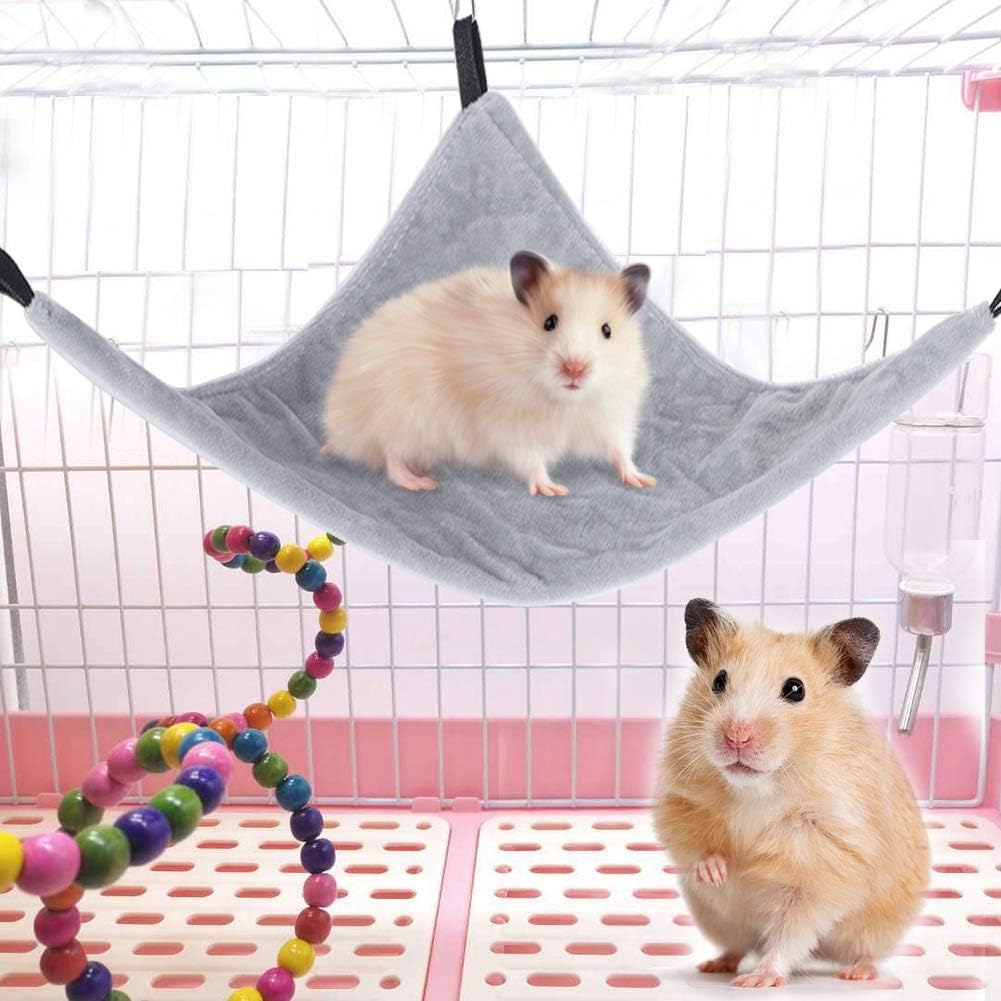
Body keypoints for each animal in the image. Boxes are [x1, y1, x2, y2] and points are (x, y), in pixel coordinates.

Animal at [321, 251, 655, 495]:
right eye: (549, 322)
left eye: (607, 330)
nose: (575, 368)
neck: (565, 401)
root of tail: (339, 426)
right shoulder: (511, 427)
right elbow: (531, 460)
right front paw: (554, 490)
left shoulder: (609, 417)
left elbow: (619, 450)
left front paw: (642, 480)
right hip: (402, 415)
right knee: (391, 455)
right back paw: (422, 482)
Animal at [654, 599, 929, 989]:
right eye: (719, 680)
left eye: (796, 689)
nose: (737, 737)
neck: (757, 788)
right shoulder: (680, 803)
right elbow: (695, 845)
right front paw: (717, 872)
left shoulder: (820, 864)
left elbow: (790, 931)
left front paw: (758, 980)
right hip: (719, 920)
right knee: (737, 946)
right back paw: (714, 965)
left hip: (876, 927)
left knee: (863, 951)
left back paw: (856, 973)